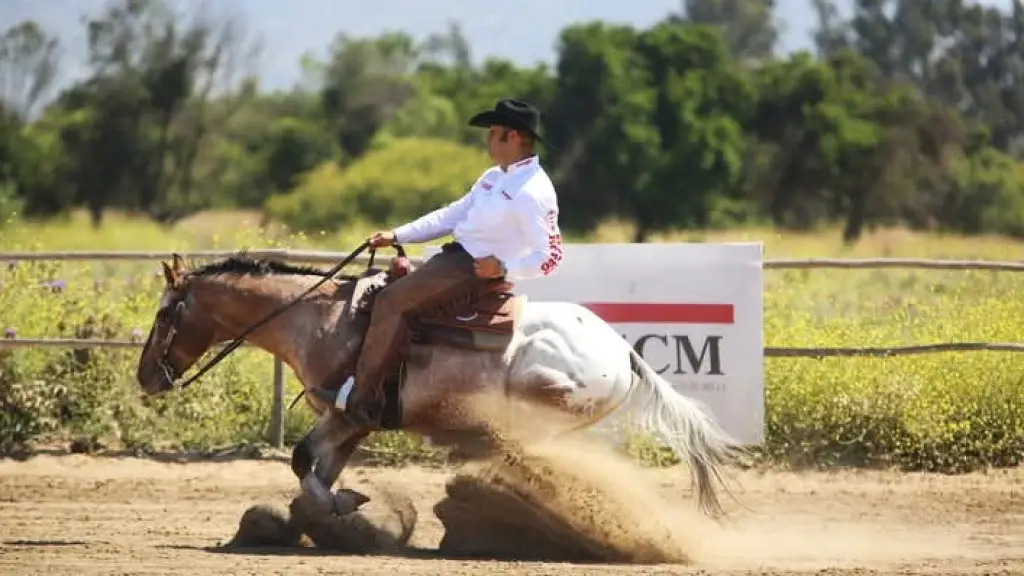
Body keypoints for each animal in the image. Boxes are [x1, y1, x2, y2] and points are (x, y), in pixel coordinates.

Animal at [134, 249, 745, 518]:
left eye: (165, 313)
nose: (145, 377)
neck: (321, 320)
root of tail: (623, 351)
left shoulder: (344, 411)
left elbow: (303, 459)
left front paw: (341, 503)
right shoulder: (356, 419)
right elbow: (318, 466)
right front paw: (341, 502)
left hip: (542, 388)